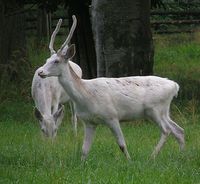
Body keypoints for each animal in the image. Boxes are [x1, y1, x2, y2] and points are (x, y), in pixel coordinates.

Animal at [37, 15, 184, 160]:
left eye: (56, 61)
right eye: (46, 60)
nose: (40, 72)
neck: (85, 95)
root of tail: (175, 86)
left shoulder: (111, 116)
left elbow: (122, 144)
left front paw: (129, 162)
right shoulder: (89, 122)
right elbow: (84, 150)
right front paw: (82, 164)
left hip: (154, 108)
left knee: (166, 130)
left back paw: (152, 157)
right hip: (164, 111)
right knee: (179, 130)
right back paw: (183, 156)